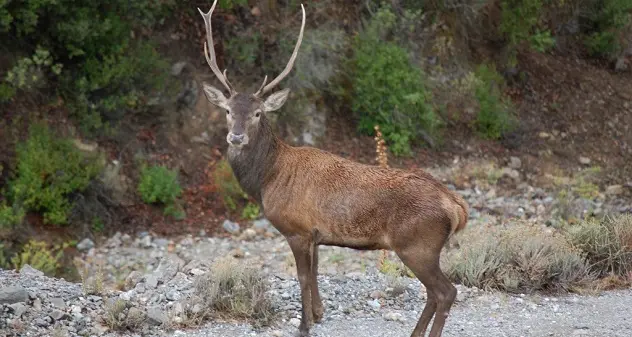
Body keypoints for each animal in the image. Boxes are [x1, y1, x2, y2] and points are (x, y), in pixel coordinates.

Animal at [198, 1, 470, 334]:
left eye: (258, 113)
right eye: (227, 110)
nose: (236, 136)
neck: (268, 179)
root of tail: (456, 206)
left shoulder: (296, 229)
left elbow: (302, 277)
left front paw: (304, 325)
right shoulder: (315, 234)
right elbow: (315, 272)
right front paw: (318, 314)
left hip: (418, 245)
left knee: (446, 291)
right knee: (435, 293)